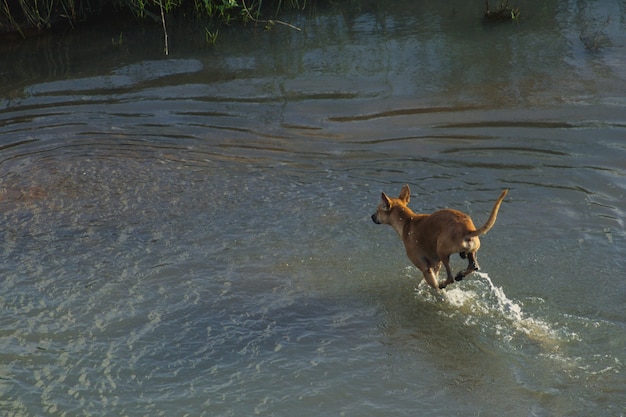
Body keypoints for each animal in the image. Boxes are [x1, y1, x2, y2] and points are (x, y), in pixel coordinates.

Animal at [370, 185, 508, 290]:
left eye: (377, 210)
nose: (371, 216)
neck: (408, 221)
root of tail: (468, 230)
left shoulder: (425, 267)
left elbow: (433, 283)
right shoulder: (435, 264)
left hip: (442, 250)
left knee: (450, 278)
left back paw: (444, 283)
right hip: (469, 252)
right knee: (473, 266)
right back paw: (461, 275)